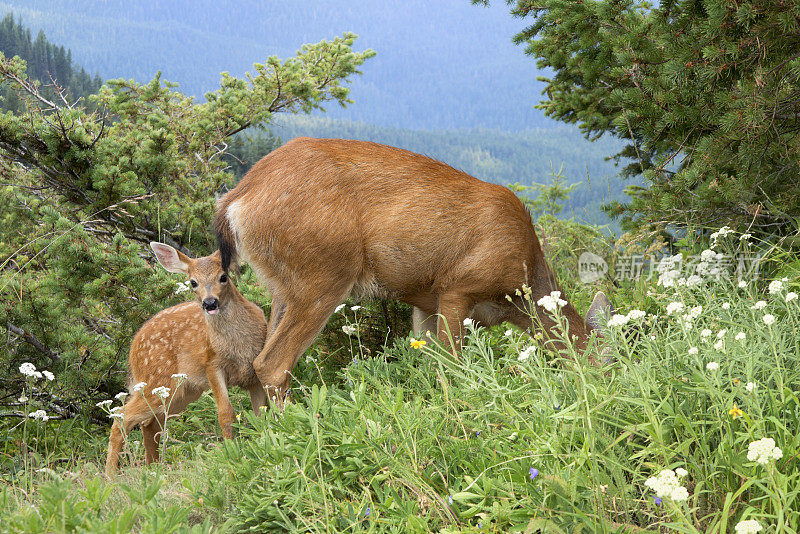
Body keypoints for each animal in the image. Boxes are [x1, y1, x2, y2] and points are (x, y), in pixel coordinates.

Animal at [104, 243, 268, 478]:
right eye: (193, 282)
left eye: (223, 276)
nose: (210, 303)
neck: (238, 348)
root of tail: (133, 348)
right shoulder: (212, 364)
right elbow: (226, 414)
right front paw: (231, 453)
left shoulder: (254, 370)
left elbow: (260, 413)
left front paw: (266, 438)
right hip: (159, 379)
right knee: (122, 417)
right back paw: (110, 475)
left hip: (181, 391)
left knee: (149, 423)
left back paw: (154, 467)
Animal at [212, 138, 612, 410]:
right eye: (609, 364)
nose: (607, 393)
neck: (522, 284)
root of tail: (236, 201)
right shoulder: (458, 287)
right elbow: (452, 363)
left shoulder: (426, 303)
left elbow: (428, 362)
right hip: (323, 274)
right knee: (272, 363)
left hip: (283, 285)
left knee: (260, 359)